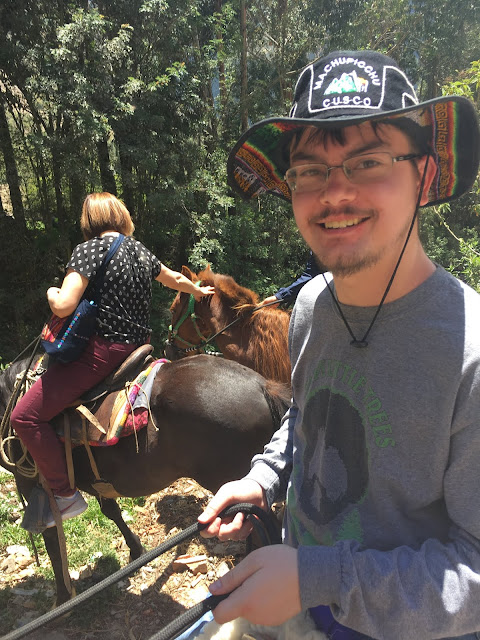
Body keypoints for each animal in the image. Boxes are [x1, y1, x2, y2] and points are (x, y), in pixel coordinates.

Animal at [0, 353, 290, 606]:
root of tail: (262, 386)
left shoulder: (33, 485)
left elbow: (51, 539)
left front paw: (62, 598)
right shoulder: (99, 480)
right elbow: (110, 510)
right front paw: (135, 550)